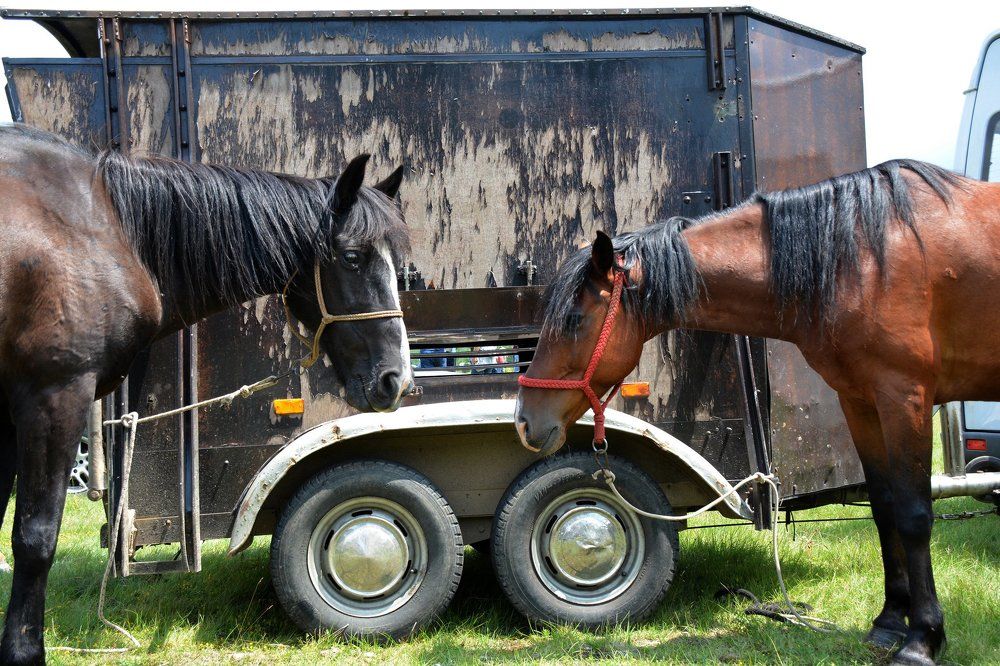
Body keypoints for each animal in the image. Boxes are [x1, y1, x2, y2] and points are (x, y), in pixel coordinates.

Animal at [515, 159, 1000, 665]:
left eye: (573, 320)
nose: (525, 421)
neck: (859, 260)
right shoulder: (861, 402)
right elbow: (885, 508)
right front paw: (887, 624)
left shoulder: (905, 397)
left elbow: (914, 515)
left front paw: (923, 638)